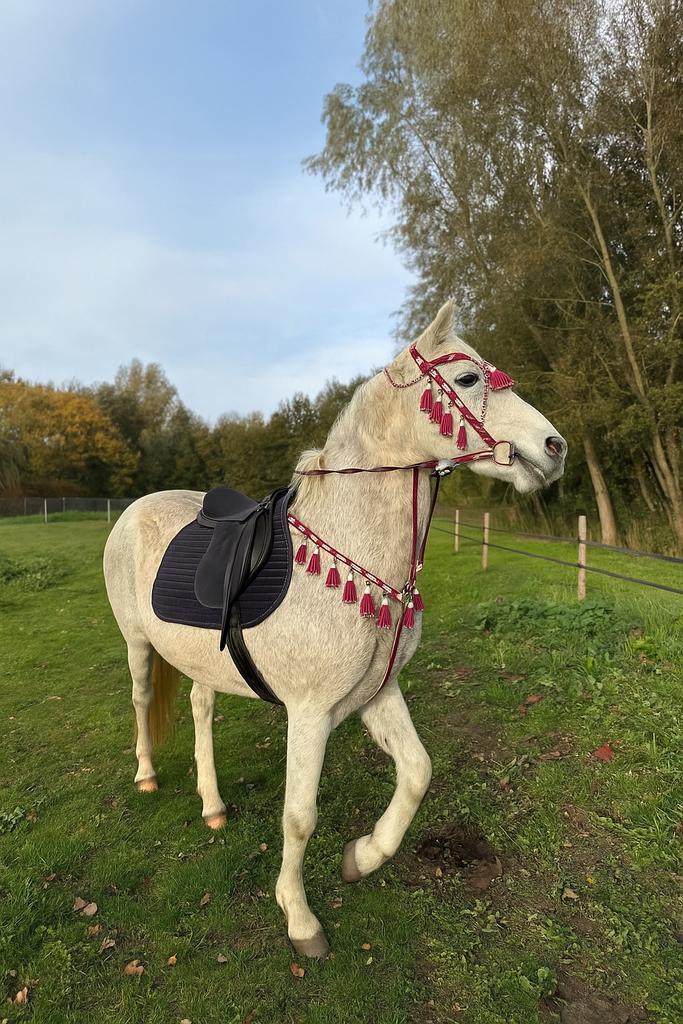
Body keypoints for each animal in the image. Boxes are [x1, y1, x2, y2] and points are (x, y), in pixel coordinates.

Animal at [103, 301, 566, 958]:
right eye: (471, 379)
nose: (556, 447)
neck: (351, 550)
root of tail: (137, 507)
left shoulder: (378, 694)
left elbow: (417, 773)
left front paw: (363, 857)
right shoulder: (310, 714)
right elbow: (300, 817)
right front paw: (300, 919)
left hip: (200, 660)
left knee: (199, 708)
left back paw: (213, 804)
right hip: (139, 646)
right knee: (143, 700)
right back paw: (146, 775)